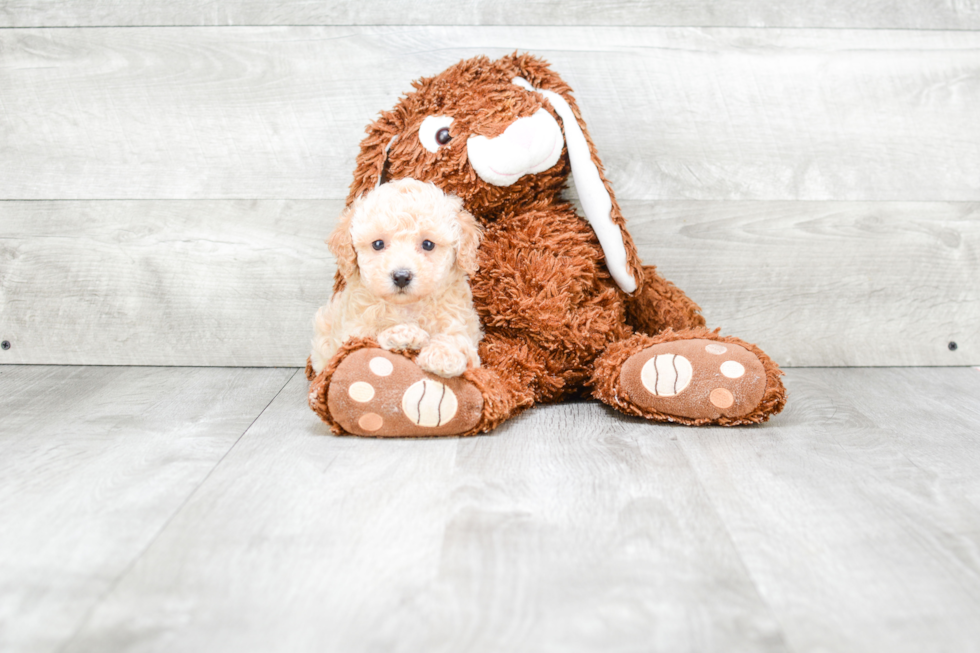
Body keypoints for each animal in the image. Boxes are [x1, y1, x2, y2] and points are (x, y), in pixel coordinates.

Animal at [310, 178, 482, 380]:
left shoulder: (462, 324)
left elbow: (457, 337)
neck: (407, 307)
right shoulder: (352, 332)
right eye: (378, 244)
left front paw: (443, 355)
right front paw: (404, 334)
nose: (401, 276)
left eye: (428, 244)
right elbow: (370, 334)